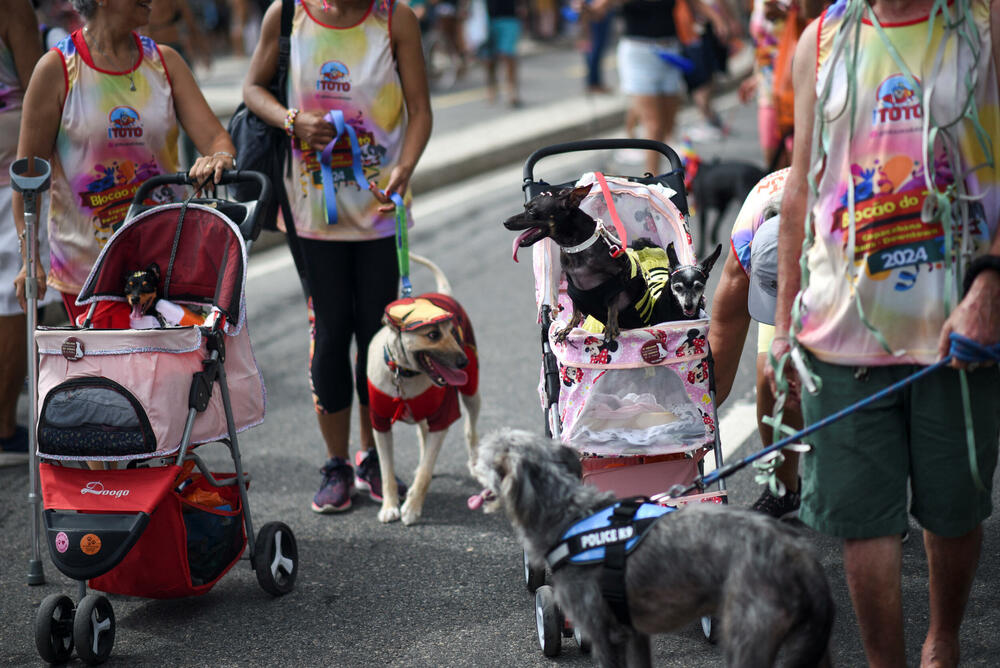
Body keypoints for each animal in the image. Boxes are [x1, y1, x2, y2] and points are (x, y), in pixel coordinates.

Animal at [368, 253, 480, 524]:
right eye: (432, 334)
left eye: (453, 332)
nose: (464, 361)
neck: (404, 373)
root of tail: (443, 294)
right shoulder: (380, 423)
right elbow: (386, 471)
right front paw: (389, 505)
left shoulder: (443, 418)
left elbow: (426, 472)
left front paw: (411, 508)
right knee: (422, 433)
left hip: (472, 393)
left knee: (470, 430)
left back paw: (474, 462)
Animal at [476, 430, 836, 664]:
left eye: (488, 450)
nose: (472, 457)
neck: (569, 511)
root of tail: (800, 559)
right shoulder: (634, 633)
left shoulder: (602, 632)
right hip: (809, 646)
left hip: (750, 636)